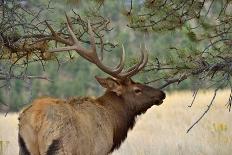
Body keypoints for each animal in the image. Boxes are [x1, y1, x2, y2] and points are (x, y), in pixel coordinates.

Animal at [19, 15, 166, 155]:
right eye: (137, 90)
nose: (162, 93)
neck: (113, 123)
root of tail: (36, 120)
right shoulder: (99, 149)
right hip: (60, 146)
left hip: (25, 149)